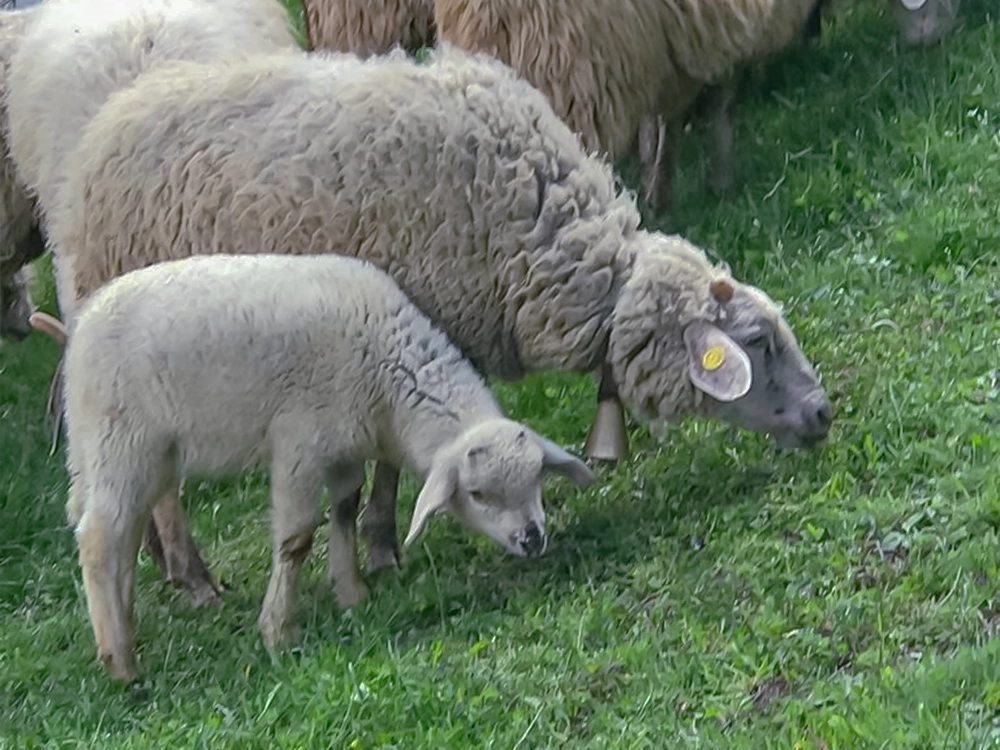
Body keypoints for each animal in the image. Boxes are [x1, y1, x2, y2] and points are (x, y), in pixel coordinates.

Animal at [43, 45, 832, 600]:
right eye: (757, 342)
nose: (825, 413)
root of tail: (101, 133)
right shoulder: (406, 320)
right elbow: (390, 463)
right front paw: (384, 546)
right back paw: (193, 575)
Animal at [64, 251, 592, 680]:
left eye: (538, 478)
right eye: (478, 494)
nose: (533, 539)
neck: (387, 379)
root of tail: (81, 331)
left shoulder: (345, 446)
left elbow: (345, 511)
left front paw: (351, 592)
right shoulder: (299, 442)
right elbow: (296, 539)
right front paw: (279, 630)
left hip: (152, 454)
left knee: (125, 532)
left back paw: (120, 624)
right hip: (120, 440)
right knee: (98, 537)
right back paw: (121, 661)